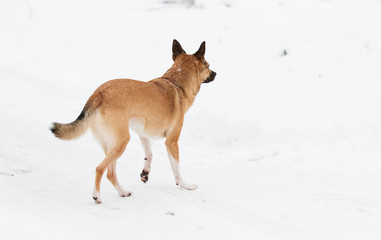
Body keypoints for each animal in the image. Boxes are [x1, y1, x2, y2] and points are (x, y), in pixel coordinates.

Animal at [50, 39, 215, 202]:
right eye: (207, 65)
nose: (215, 73)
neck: (176, 83)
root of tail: (98, 94)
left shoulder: (143, 133)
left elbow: (149, 154)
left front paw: (145, 172)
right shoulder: (172, 141)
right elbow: (177, 168)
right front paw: (185, 185)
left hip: (111, 144)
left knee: (110, 173)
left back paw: (122, 192)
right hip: (121, 142)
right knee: (100, 169)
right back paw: (97, 195)